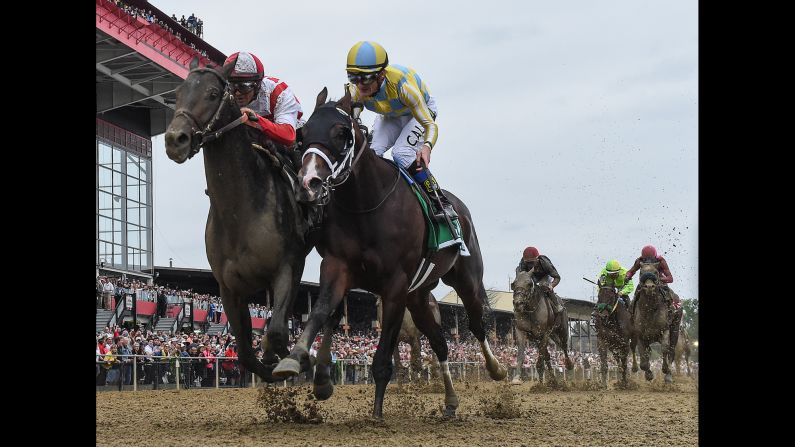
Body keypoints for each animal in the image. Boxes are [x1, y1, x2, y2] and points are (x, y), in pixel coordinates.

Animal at [163, 59, 310, 382]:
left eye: (213, 93)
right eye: (177, 93)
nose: (174, 140)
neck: (239, 211)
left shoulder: (286, 266)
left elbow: (277, 332)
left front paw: (294, 361)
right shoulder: (229, 287)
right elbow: (244, 352)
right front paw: (269, 365)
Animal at [270, 88, 506, 420]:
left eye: (341, 133)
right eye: (302, 135)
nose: (308, 184)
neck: (366, 204)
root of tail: (458, 206)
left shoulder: (395, 285)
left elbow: (383, 358)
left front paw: (377, 412)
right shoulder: (338, 266)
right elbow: (322, 310)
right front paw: (300, 362)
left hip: (466, 279)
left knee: (476, 324)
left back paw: (496, 369)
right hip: (418, 298)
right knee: (440, 343)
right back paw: (450, 401)